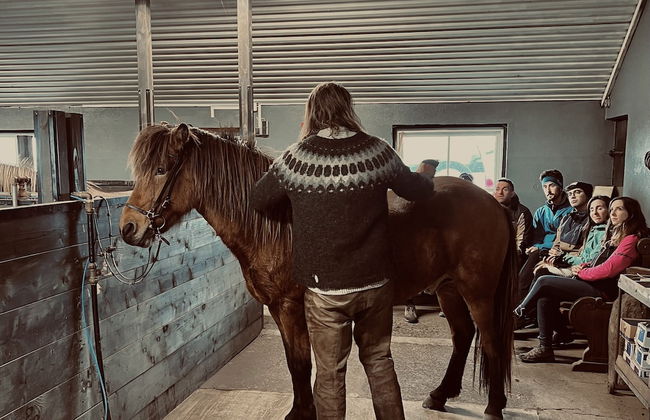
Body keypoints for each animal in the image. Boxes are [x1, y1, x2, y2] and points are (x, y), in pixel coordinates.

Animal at [119, 123, 518, 420]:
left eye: (161, 169)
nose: (128, 228)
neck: (277, 224)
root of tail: (492, 202)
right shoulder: (279, 309)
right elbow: (295, 362)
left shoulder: (291, 307)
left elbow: (300, 362)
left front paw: (302, 412)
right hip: (448, 287)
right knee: (463, 335)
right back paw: (440, 395)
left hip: (478, 292)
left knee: (491, 341)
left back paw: (494, 406)